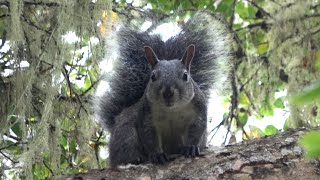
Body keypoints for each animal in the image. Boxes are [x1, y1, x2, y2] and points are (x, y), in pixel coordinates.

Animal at [94, 11, 231, 167]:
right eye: (152, 76)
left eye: (185, 76)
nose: (168, 93)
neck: (172, 110)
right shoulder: (146, 117)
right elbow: (149, 138)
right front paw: (157, 154)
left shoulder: (199, 110)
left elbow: (196, 130)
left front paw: (190, 147)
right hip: (125, 133)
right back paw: (135, 159)